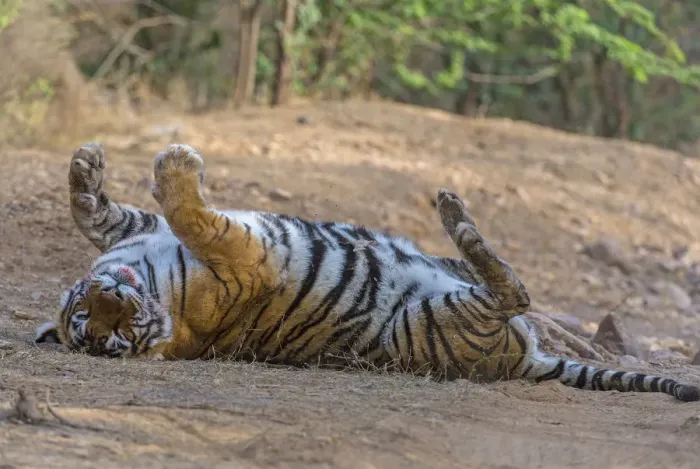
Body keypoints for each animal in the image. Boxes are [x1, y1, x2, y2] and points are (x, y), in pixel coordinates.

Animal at [35, 142, 700, 402]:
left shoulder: (139, 233)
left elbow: (99, 213)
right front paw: (176, 163)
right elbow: (197, 215)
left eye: (91, 313)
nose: (116, 303)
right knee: (513, 291)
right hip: (435, 317)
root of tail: (523, 363)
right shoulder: (241, 259)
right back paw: (457, 220)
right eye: (101, 332)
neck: (152, 277)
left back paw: (450, 220)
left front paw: (86, 165)